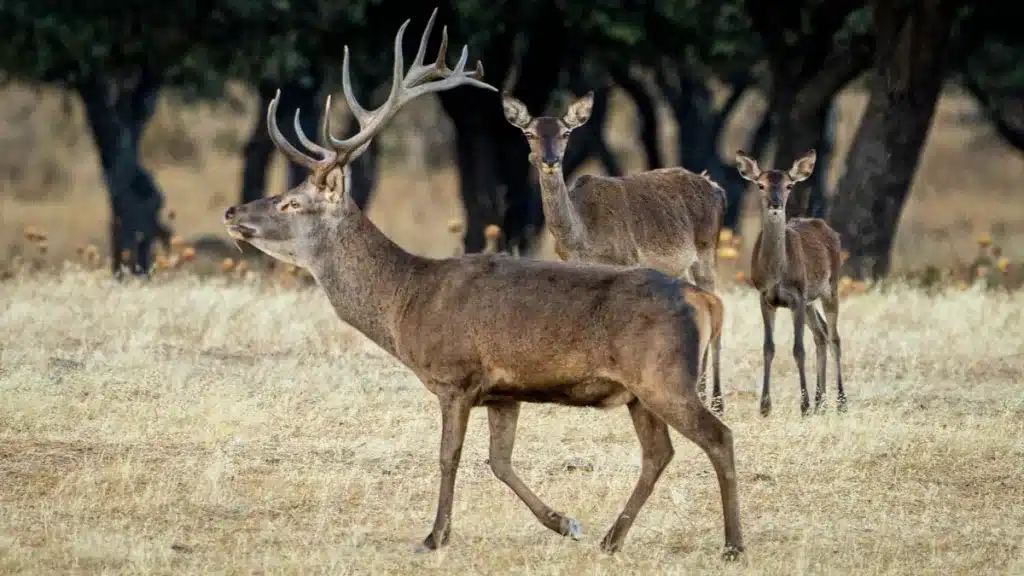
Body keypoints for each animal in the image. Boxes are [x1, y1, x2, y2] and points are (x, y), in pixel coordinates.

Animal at [501, 90, 729, 412]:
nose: (549, 160)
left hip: (707, 251)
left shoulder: (626, 260)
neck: (583, 236)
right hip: (681, 266)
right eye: (529, 133)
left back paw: (717, 402)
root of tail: (717, 189)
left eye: (565, 132)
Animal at [737, 147, 847, 414]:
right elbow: (768, 347)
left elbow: (798, 349)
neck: (778, 274)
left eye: (789, 185)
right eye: (761, 185)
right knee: (821, 334)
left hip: (830, 287)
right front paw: (765, 406)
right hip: (810, 301)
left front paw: (804, 405)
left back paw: (840, 402)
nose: (776, 204)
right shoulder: (765, 297)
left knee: (835, 337)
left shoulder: (797, 295)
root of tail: (827, 228)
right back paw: (821, 402)